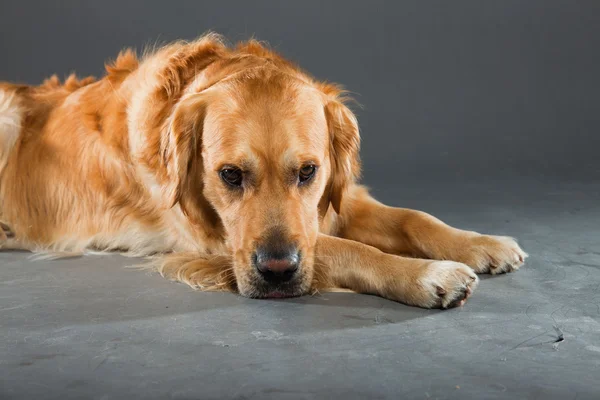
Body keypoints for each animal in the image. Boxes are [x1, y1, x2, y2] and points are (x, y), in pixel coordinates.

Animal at [0, 34, 524, 310]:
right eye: (230, 175)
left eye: (308, 171)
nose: (277, 272)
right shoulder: (216, 244)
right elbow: (345, 249)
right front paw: (429, 274)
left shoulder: (335, 200)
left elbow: (414, 218)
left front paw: (482, 244)